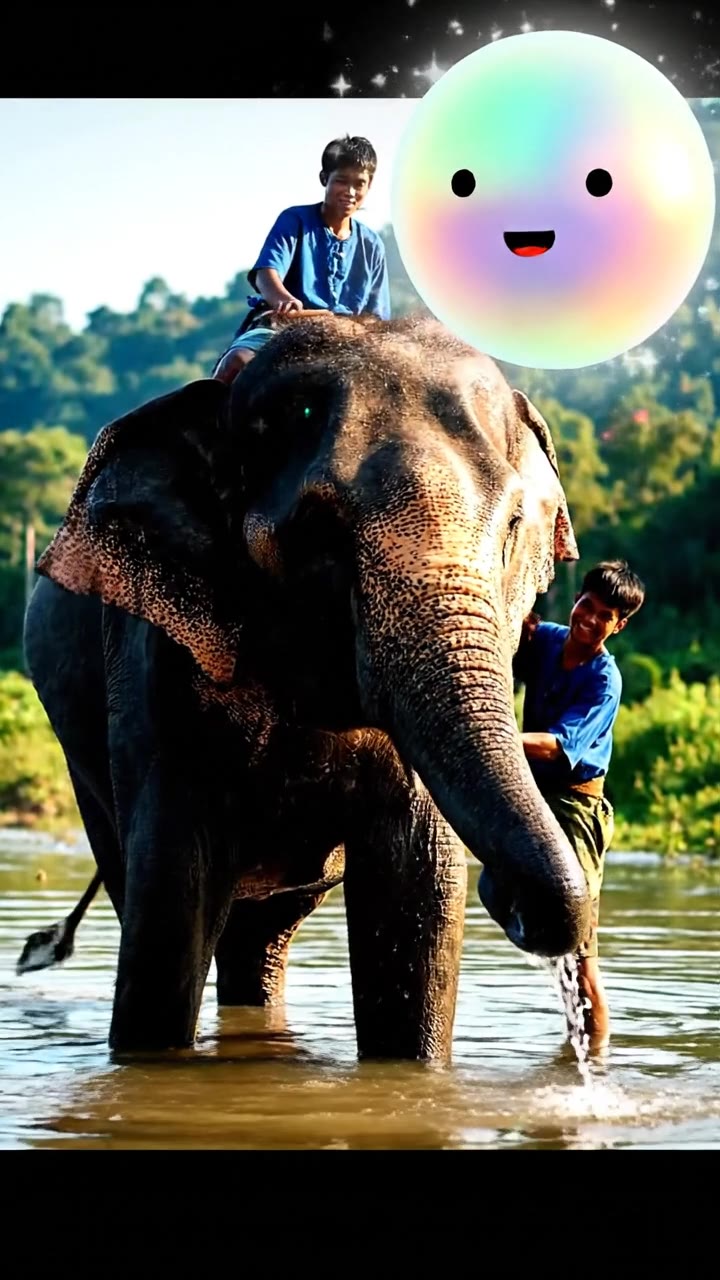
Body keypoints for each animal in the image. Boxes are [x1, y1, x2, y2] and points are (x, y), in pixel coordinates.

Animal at [22, 311, 590, 1060]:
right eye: (318, 532)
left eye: (513, 529)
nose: (509, 893)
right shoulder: (159, 658)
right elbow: (173, 895)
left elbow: (416, 892)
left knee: (259, 936)